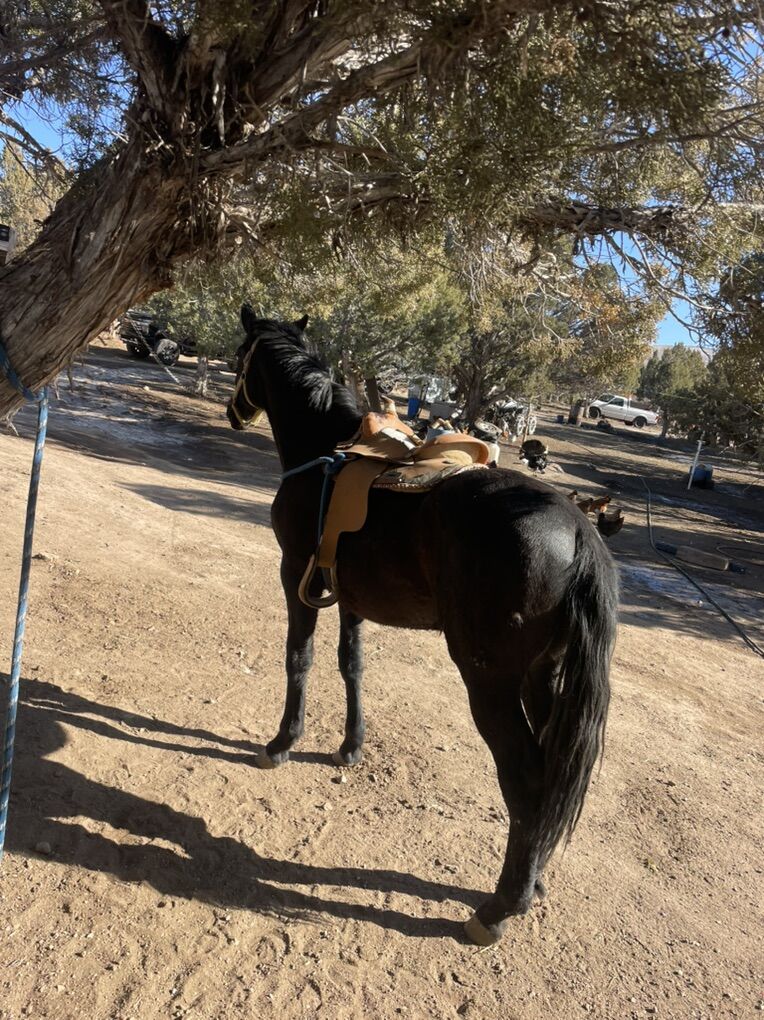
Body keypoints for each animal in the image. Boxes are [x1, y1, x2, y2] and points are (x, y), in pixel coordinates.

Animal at [226, 308, 619, 946]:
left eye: (241, 358)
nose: (236, 411)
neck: (324, 454)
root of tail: (581, 529)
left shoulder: (295, 576)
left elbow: (299, 658)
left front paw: (283, 742)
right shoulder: (350, 596)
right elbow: (352, 665)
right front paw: (350, 747)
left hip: (491, 682)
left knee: (528, 778)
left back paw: (499, 908)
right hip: (545, 677)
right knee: (550, 779)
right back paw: (531, 881)